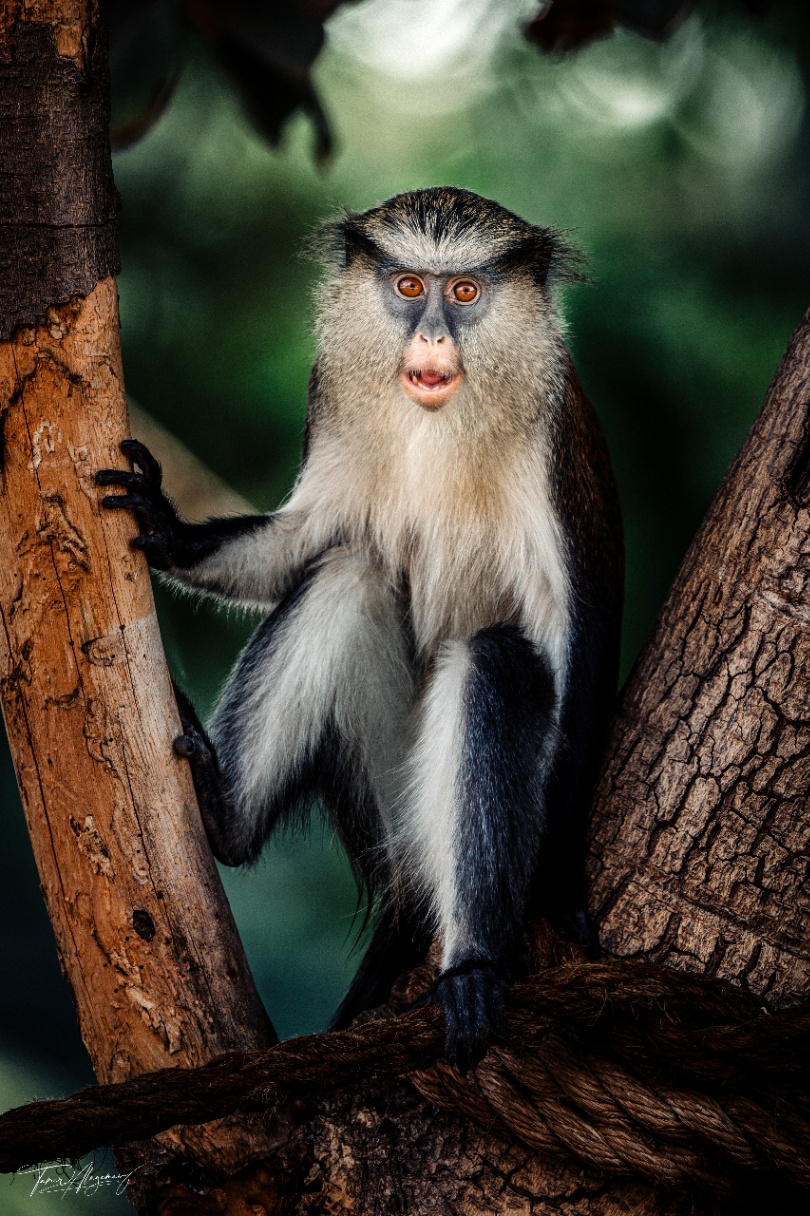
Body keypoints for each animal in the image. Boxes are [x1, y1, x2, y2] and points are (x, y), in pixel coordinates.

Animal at [97, 187, 623, 1072]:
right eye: (410, 287)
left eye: (466, 292)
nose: (433, 336)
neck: (439, 423)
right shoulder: (332, 404)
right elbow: (309, 539)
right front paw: (167, 530)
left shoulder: (556, 448)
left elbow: (572, 651)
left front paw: (558, 893)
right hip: (386, 800)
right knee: (351, 574)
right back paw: (224, 816)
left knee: (501, 660)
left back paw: (470, 960)